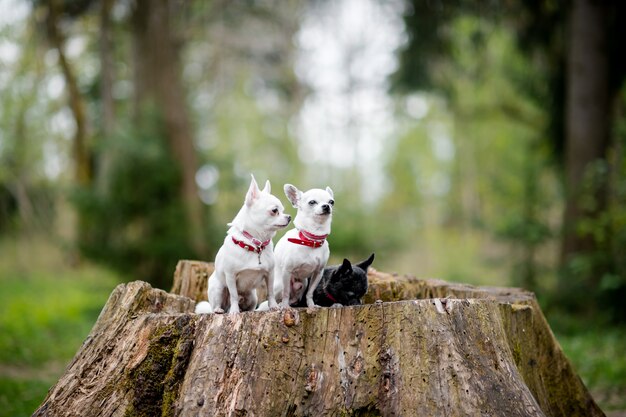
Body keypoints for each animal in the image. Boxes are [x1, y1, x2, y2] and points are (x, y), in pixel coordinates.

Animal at [195, 174, 290, 314]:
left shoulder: (270, 274)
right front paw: (234, 311)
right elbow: (234, 295)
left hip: (252, 296)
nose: (288, 217)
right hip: (218, 288)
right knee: (218, 304)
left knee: (249, 306)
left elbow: (270, 292)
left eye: (283, 210)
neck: (255, 245)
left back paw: (249, 310)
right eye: (274, 210)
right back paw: (220, 309)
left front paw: (273, 306)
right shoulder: (230, 276)